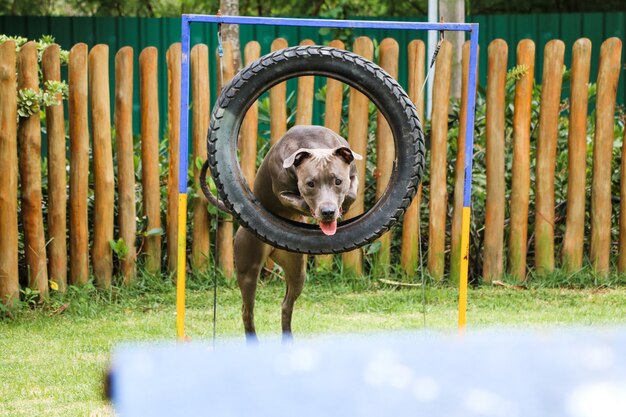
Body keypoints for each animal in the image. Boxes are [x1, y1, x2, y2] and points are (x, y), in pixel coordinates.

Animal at [234, 125, 360, 340]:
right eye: (310, 183)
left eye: (338, 181)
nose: (328, 212)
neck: (315, 146)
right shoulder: (282, 191)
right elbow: (297, 201)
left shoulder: (353, 174)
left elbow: (351, 192)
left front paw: (344, 206)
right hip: (248, 270)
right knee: (247, 310)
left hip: (297, 271)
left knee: (286, 305)